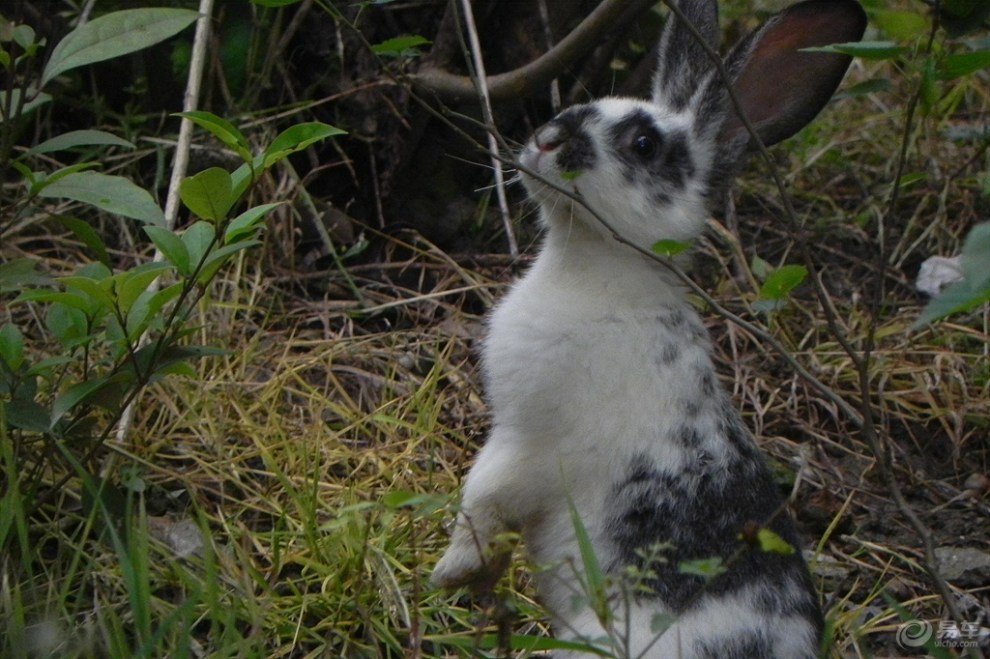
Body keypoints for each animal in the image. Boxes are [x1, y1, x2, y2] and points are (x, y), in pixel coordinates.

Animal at [434, 2, 868, 656]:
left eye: (643, 144)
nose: (547, 139)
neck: (595, 269)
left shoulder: (525, 446)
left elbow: (481, 499)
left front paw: (452, 573)